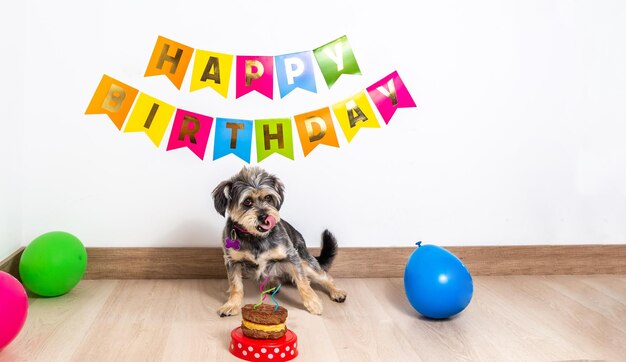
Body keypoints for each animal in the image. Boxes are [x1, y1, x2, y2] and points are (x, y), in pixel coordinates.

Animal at [212, 165, 344, 316]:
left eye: (268, 197)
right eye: (247, 201)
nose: (264, 216)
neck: (255, 237)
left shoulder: (291, 255)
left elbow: (303, 281)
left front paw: (312, 302)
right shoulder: (232, 261)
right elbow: (235, 285)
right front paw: (232, 304)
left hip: (305, 261)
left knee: (324, 276)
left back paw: (337, 292)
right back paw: (271, 284)